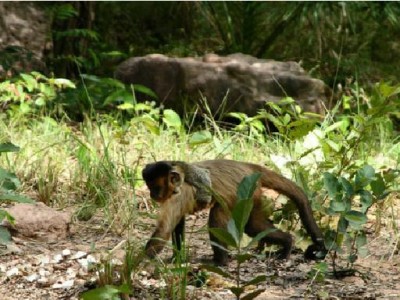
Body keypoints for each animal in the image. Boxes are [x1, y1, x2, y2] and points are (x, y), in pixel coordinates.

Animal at [142, 159, 326, 264]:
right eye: (149, 187)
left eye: (155, 187)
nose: (152, 194)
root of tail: (248, 167)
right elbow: (177, 224)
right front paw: (177, 259)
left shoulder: (179, 194)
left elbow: (164, 231)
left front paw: (139, 264)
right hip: (251, 193)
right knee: (253, 226)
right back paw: (287, 241)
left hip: (239, 192)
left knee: (217, 218)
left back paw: (221, 262)